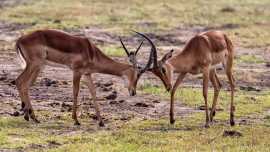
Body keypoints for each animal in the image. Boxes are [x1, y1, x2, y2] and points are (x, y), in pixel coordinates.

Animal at [15, 29, 152, 126]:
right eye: (138, 74)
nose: (133, 92)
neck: (91, 52)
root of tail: (20, 39)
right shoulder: (77, 72)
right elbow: (76, 92)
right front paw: (76, 120)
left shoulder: (87, 74)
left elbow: (93, 92)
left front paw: (101, 122)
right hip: (35, 65)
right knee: (20, 81)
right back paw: (31, 116)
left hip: (38, 67)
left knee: (25, 85)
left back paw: (30, 116)